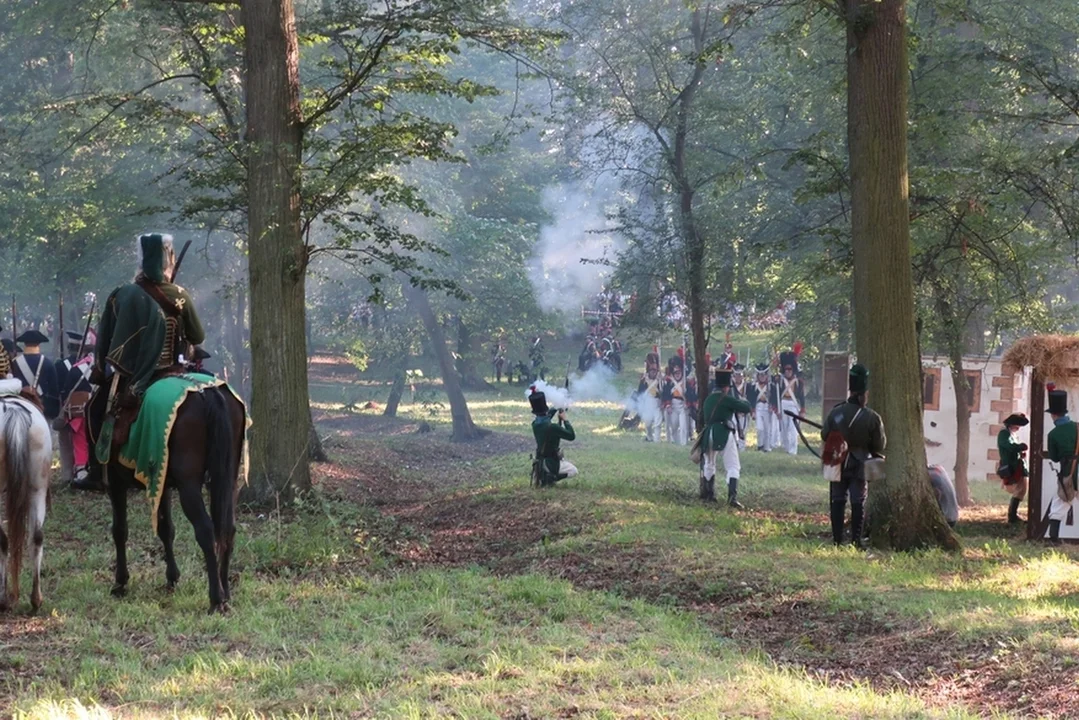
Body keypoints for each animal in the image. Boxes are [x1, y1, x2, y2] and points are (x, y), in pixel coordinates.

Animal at [86, 377, 247, 613]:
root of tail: (206, 393)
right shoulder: (161, 482)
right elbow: (166, 529)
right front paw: (172, 577)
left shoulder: (116, 483)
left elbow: (120, 531)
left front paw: (121, 582)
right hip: (228, 478)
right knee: (228, 528)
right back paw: (225, 592)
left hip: (189, 487)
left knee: (206, 531)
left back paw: (216, 599)